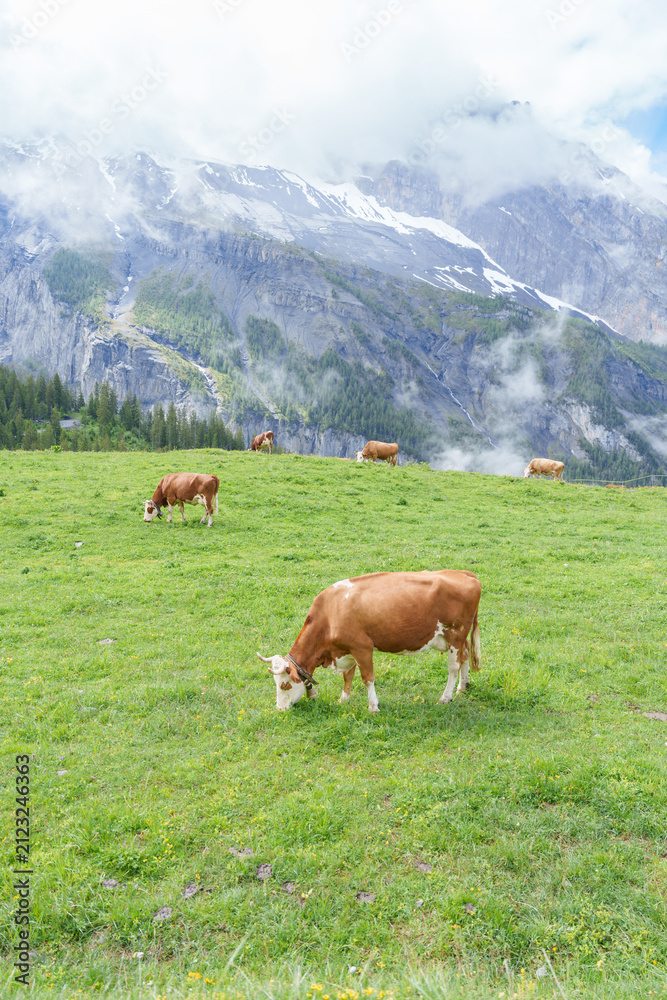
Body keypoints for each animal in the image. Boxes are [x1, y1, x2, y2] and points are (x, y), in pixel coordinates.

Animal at [257, 569, 481, 713]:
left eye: (284, 685)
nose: (280, 709)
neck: (331, 612)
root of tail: (464, 573)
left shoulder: (362, 647)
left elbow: (367, 678)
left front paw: (373, 706)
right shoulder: (346, 649)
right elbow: (348, 676)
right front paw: (343, 699)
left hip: (455, 634)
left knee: (453, 667)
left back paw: (445, 697)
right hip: (458, 638)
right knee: (465, 655)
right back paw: (462, 687)